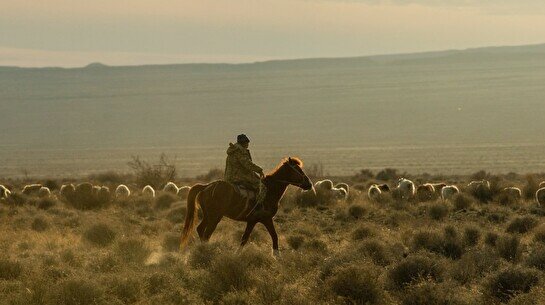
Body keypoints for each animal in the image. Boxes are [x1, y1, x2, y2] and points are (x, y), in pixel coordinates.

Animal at [181, 157, 312, 254]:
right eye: (298, 170)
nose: (309, 184)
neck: (270, 191)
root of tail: (206, 187)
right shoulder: (266, 219)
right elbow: (274, 236)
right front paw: (276, 256)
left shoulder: (252, 221)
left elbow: (245, 238)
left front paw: (237, 254)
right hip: (215, 217)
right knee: (207, 234)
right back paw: (206, 251)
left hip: (208, 216)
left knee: (200, 229)